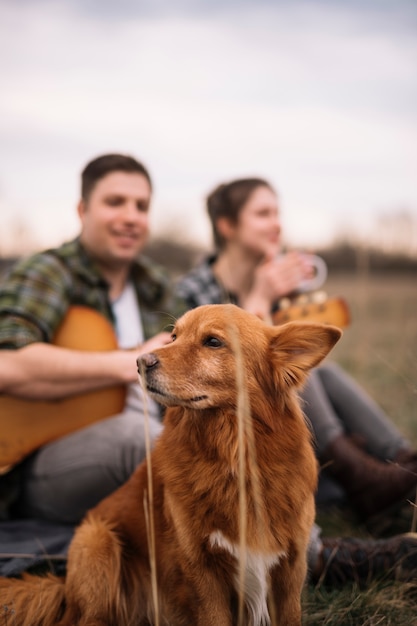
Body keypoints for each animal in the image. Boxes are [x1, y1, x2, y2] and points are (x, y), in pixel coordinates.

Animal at [0, 304, 342, 624]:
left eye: (213, 342)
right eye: (174, 336)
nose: (140, 362)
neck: (231, 455)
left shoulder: (290, 569)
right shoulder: (202, 571)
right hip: (98, 543)